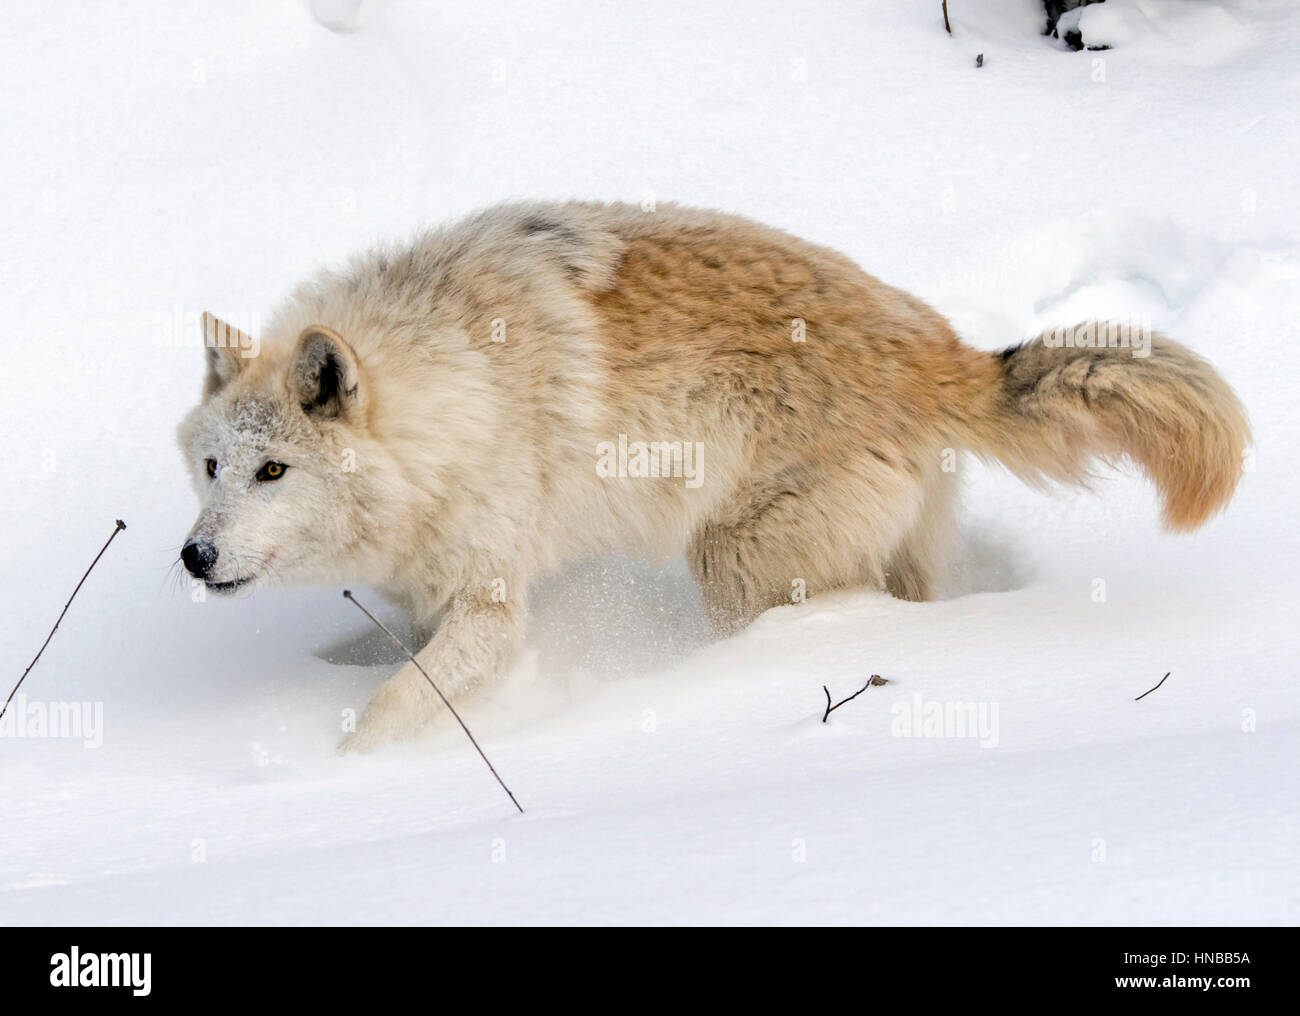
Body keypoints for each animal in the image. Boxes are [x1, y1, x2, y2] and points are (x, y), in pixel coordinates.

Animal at [178, 201, 1250, 751]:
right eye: (212, 467)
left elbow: (389, 714)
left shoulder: (491, 605)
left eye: (273, 470)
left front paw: (334, 778)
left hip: (736, 562)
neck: (450, 389)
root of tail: (947, 352)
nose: (193, 557)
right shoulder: (427, 591)